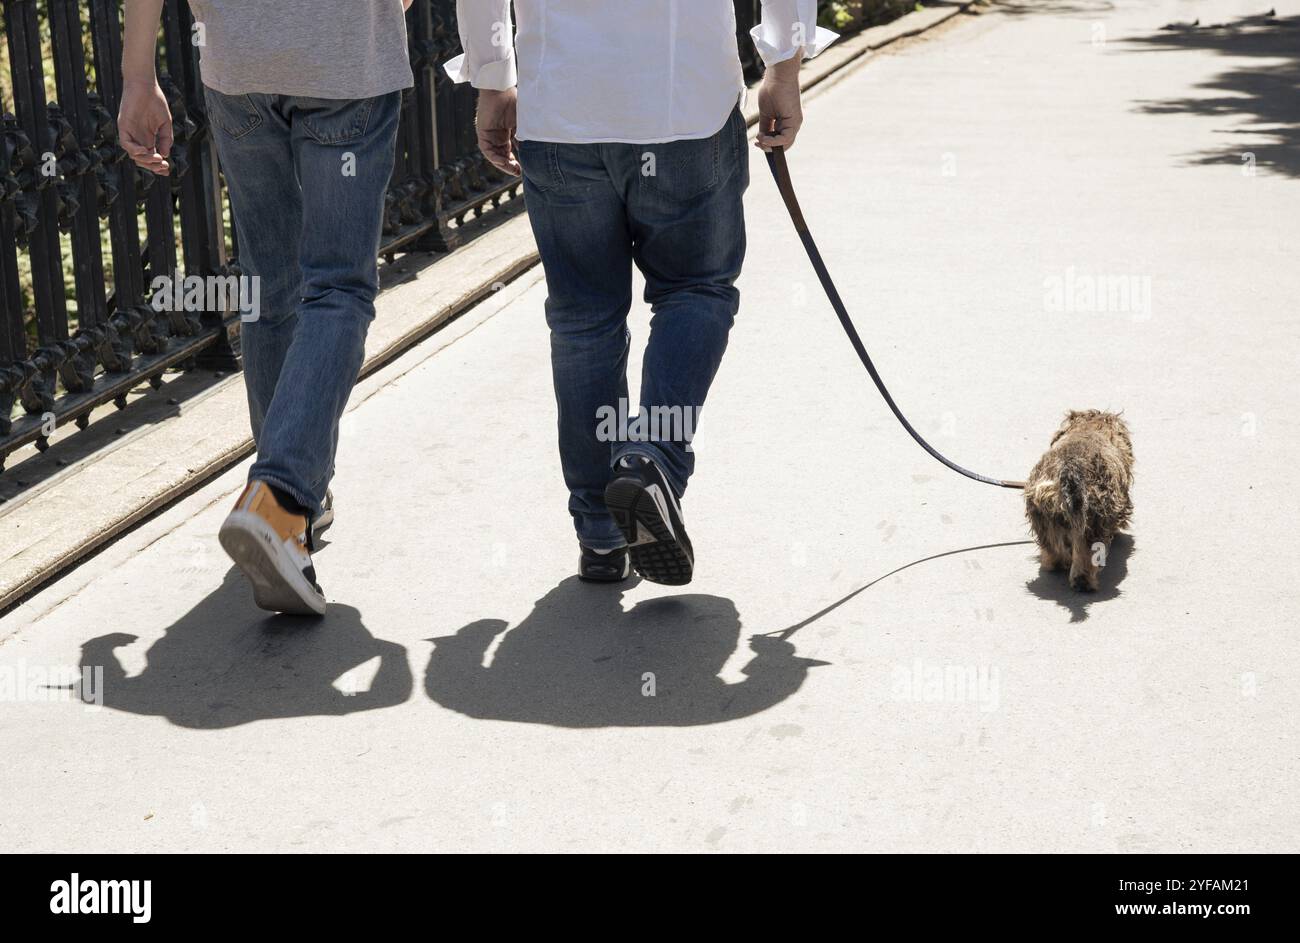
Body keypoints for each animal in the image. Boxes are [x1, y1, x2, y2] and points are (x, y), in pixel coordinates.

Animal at [1024, 411, 1128, 587]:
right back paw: (1083, 581)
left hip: (1042, 512)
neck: (1089, 426)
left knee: (1052, 545)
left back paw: (1057, 563)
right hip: (1094, 519)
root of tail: (1069, 468)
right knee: (1086, 552)